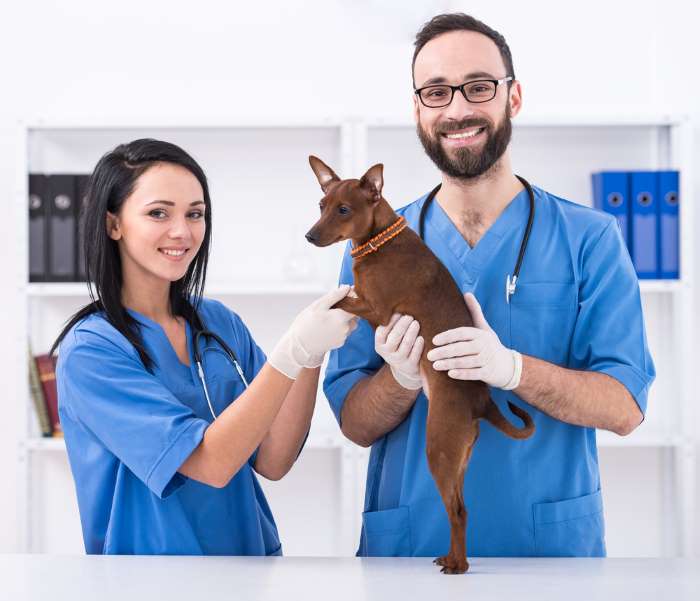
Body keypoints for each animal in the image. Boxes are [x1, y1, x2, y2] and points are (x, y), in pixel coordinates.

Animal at [306, 155, 536, 572]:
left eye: (343, 210)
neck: (378, 241)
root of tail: (482, 401)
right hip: (459, 457)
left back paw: (458, 565)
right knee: (462, 507)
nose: (310, 236)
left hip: (439, 448)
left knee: (456, 511)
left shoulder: (377, 309)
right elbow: (342, 296)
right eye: (321, 206)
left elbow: (340, 299)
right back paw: (452, 556)